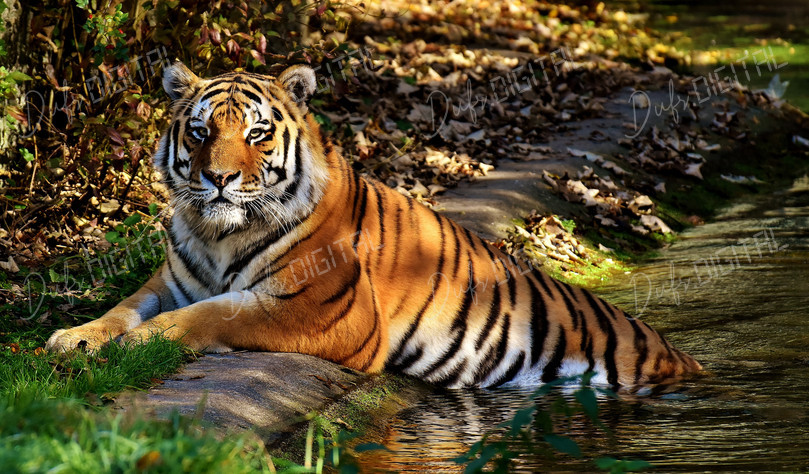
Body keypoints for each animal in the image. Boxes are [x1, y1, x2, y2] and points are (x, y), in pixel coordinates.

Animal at [45, 61, 702, 388]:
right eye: (202, 131)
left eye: (256, 133)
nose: (219, 179)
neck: (218, 234)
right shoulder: (171, 282)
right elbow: (126, 306)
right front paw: (76, 336)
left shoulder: (324, 309)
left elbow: (214, 315)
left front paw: (137, 344)